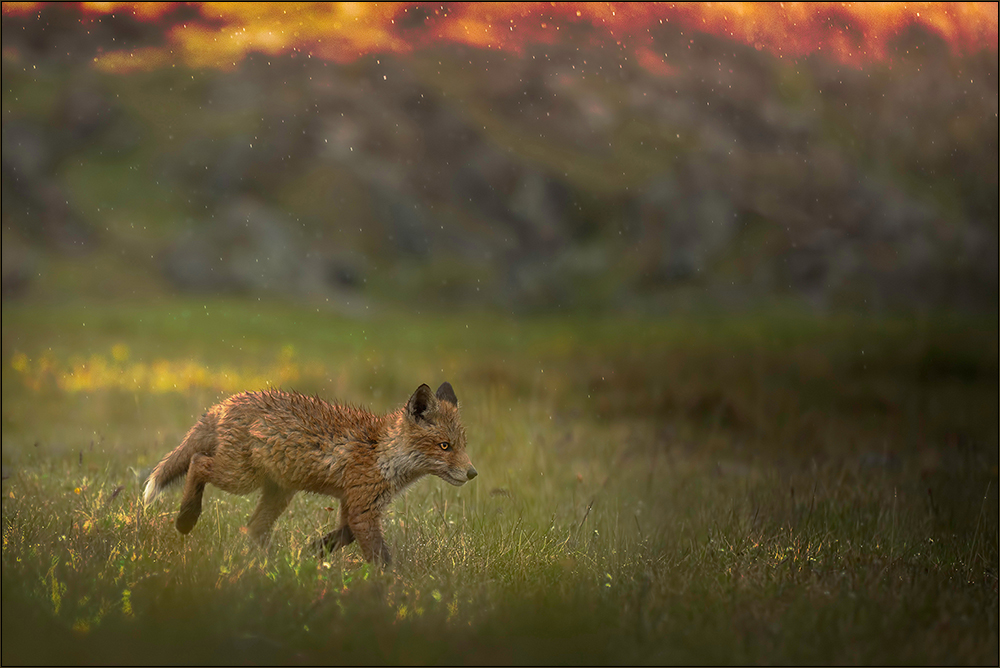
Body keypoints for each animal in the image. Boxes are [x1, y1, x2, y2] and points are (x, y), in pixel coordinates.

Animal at [142, 380, 480, 564]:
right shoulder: (362, 506)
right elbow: (379, 556)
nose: (472, 473)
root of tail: (226, 403)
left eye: (463, 445)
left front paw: (313, 551)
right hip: (240, 478)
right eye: (445, 446)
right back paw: (186, 518)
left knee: (252, 528)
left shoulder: (354, 503)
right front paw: (393, 587)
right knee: (198, 462)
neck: (382, 451)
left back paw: (270, 564)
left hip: (278, 493)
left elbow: (344, 536)